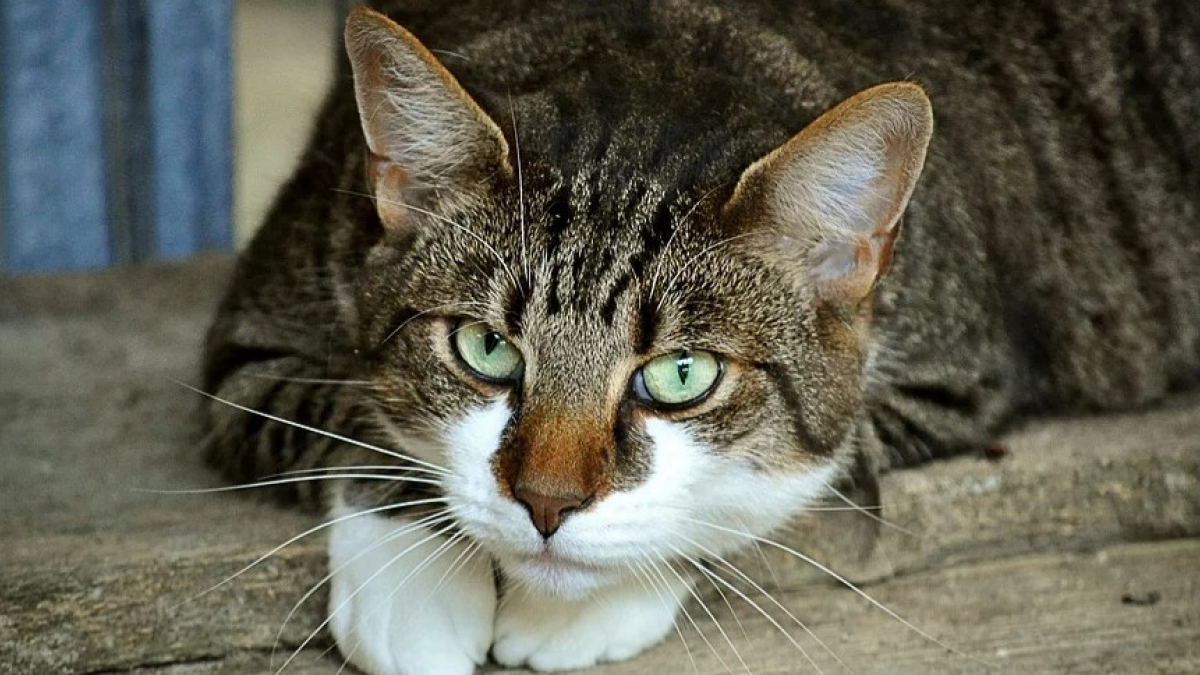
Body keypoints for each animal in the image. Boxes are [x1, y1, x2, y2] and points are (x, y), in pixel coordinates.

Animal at [201, 0, 1200, 667]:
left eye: (681, 374)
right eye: (486, 350)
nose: (548, 505)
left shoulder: (957, 376)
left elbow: (784, 483)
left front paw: (572, 612)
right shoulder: (257, 328)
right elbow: (346, 414)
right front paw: (416, 591)